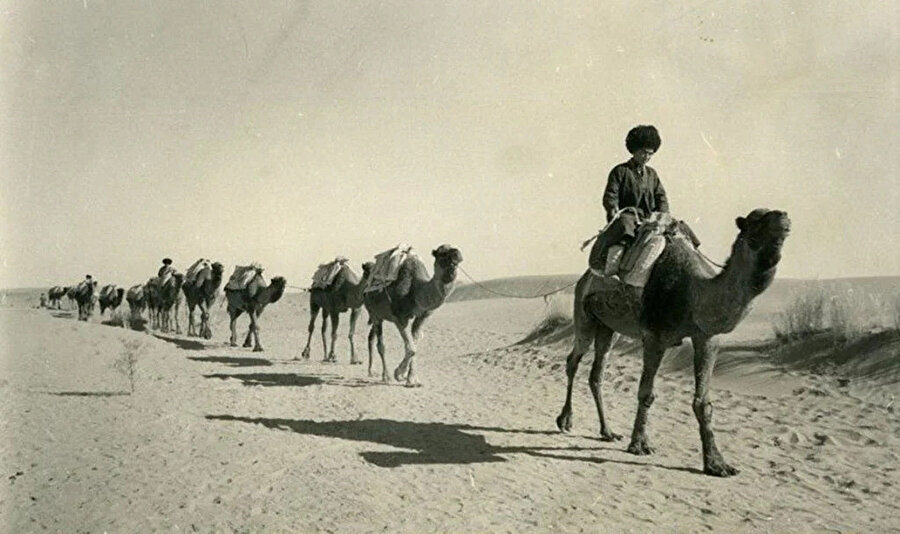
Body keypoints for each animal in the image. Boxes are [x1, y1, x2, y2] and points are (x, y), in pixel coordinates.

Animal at [364, 245, 464, 388]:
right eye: (443, 253)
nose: (457, 254)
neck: (416, 290)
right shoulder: (400, 318)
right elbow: (411, 348)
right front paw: (399, 374)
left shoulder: (422, 317)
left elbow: (414, 344)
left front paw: (411, 379)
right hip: (374, 313)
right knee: (380, 345)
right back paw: (386, 376)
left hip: (379, 316)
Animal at [556, 208, 788, 478]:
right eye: (756, 221)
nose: (783, 217)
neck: (693, 292)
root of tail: (583, 279)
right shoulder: (654, 337)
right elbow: (646, 393)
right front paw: (639, 444)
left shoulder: (707, 338)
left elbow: (703, 403)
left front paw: (716, 463)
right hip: (584, 313)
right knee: (573, 360)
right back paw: (565, 420)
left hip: (607, 326)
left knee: (597, 373)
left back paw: (608, 432)